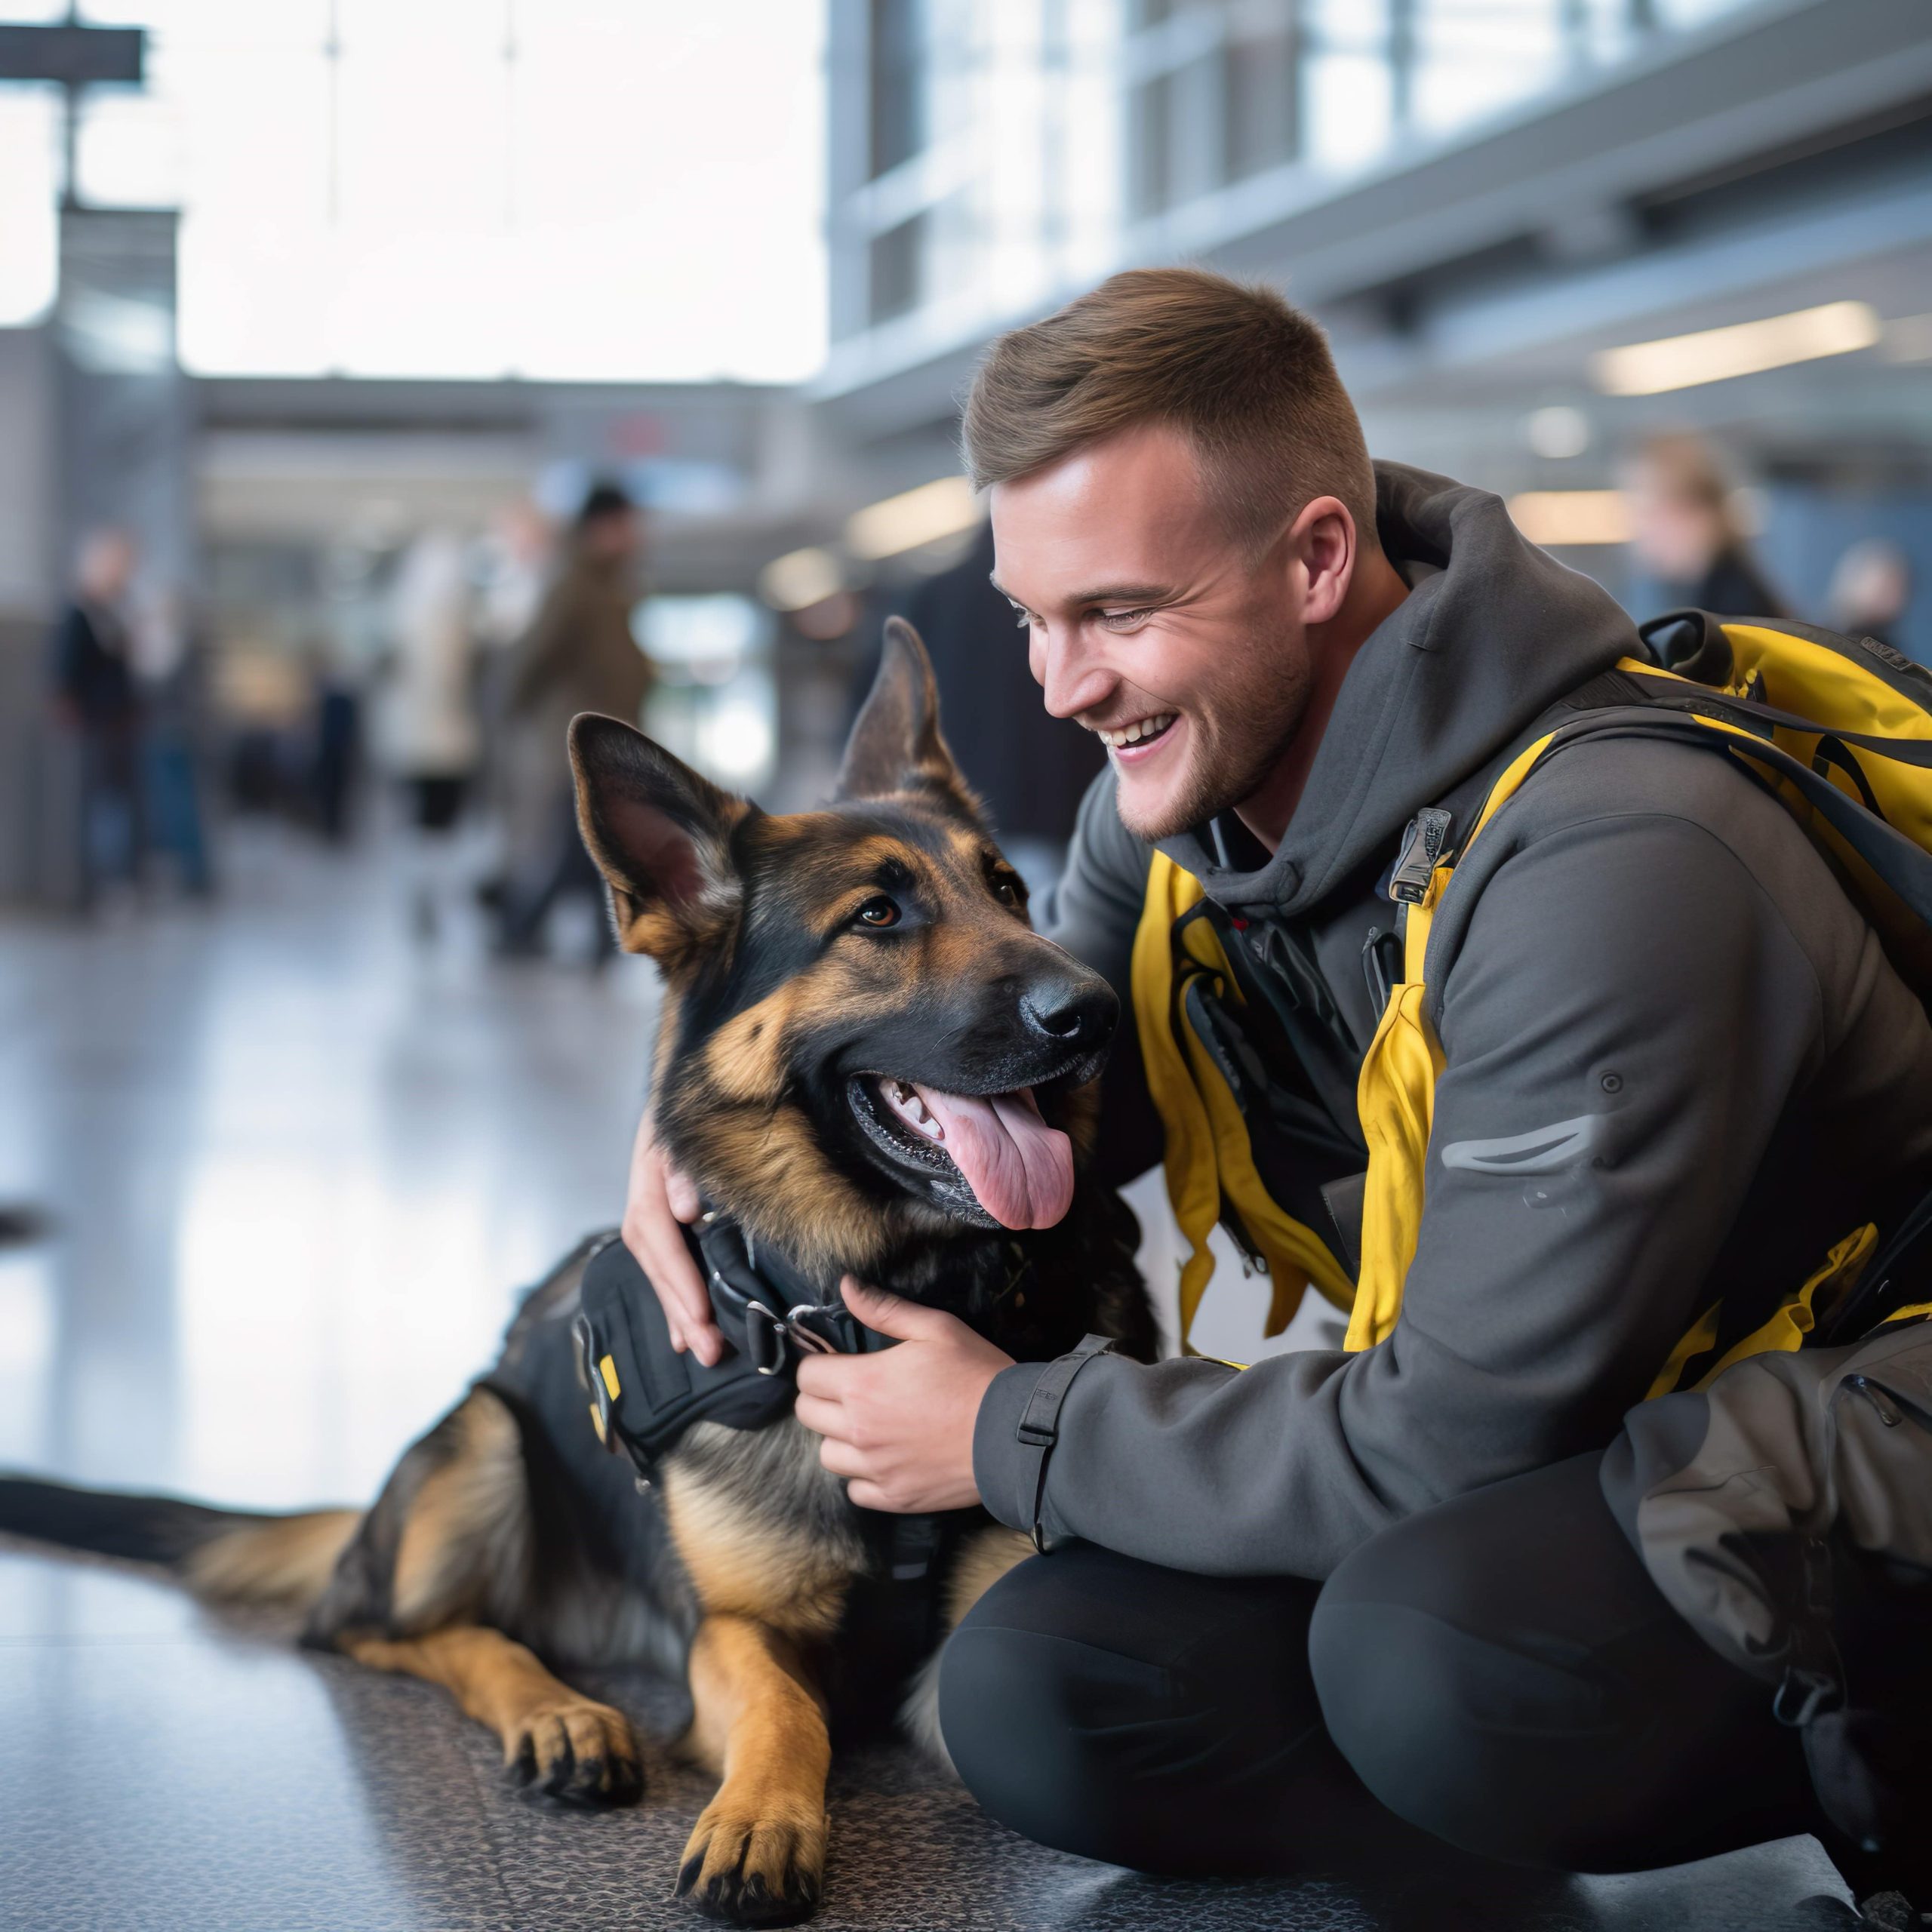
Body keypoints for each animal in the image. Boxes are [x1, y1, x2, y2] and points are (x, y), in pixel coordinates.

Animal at [0, 626, 1151, 1924]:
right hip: (483, 1441)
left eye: (1010, 892)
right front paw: (761, 1813)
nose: (1094, 1009)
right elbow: (782, 1706)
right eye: (877, 915)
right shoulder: (729, 1631)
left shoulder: (956, 1659)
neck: (875, 1303)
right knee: (384, 1630)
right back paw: (557, 1713)